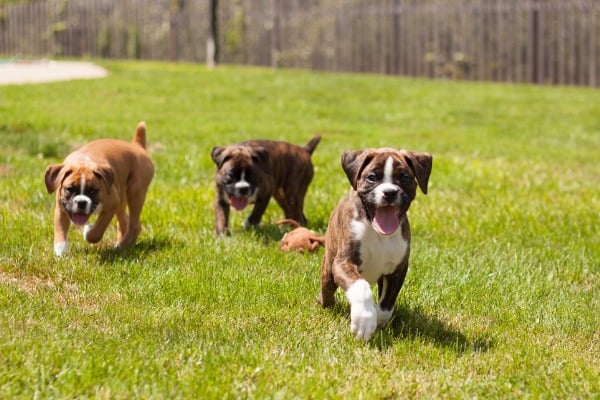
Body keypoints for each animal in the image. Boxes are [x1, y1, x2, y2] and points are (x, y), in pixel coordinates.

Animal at [43, 120, 154, 256]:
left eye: (93, 190)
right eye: (69, 189)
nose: (81, 202)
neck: (82, 162)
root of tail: (136, 146)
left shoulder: (112, 203)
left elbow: (97, 230)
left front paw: (88, 230)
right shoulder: (61, 208)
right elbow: (60, 229)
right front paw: (60, 251)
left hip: (135, 193)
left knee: (134, 226)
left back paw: (120, 247)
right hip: (121, 198)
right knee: (124, 222)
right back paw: (119, 245)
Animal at [318, 147, 432, 340]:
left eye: (405, 177)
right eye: (372, 177)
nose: (390, 192)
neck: (378, 232)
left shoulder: (397, 270)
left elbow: (387, 303)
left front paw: (378, 319)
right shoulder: (344, 262)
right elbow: (361, 287)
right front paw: (364, 320)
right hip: (328, 270)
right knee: (327, 291)